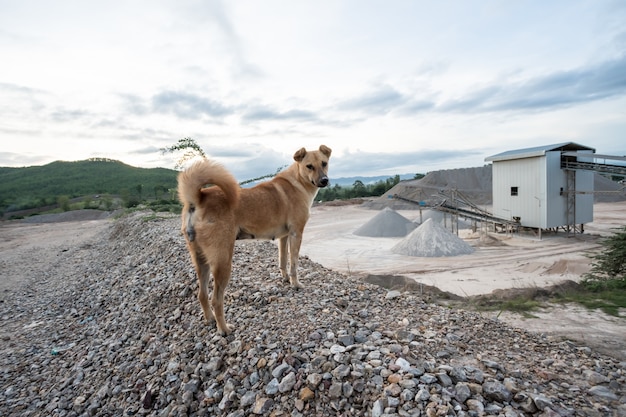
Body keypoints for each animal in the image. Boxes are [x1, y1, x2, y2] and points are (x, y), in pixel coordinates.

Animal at [177, 145, 332, 334]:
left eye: (324, 163)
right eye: (309, 166)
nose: (324, 180)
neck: (298, 181)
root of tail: (198, 198)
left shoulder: (284, 236)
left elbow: (283, 260)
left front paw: (285, 279)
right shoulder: (296, 233)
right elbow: (294, 264)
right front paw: (295, 284)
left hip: (201, 261)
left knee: (202, 294)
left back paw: (210, 319)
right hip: (223, 261)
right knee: (216, 300)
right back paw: (224, 329)